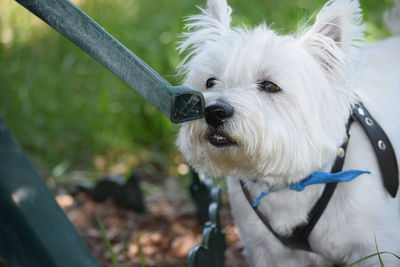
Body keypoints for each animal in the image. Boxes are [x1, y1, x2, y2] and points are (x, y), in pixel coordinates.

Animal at [177, 0, 398, 266]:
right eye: (210, 82)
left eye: (270, 86)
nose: (214, 112)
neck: (291, 184)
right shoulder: (266, 250)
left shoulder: (377, 248)